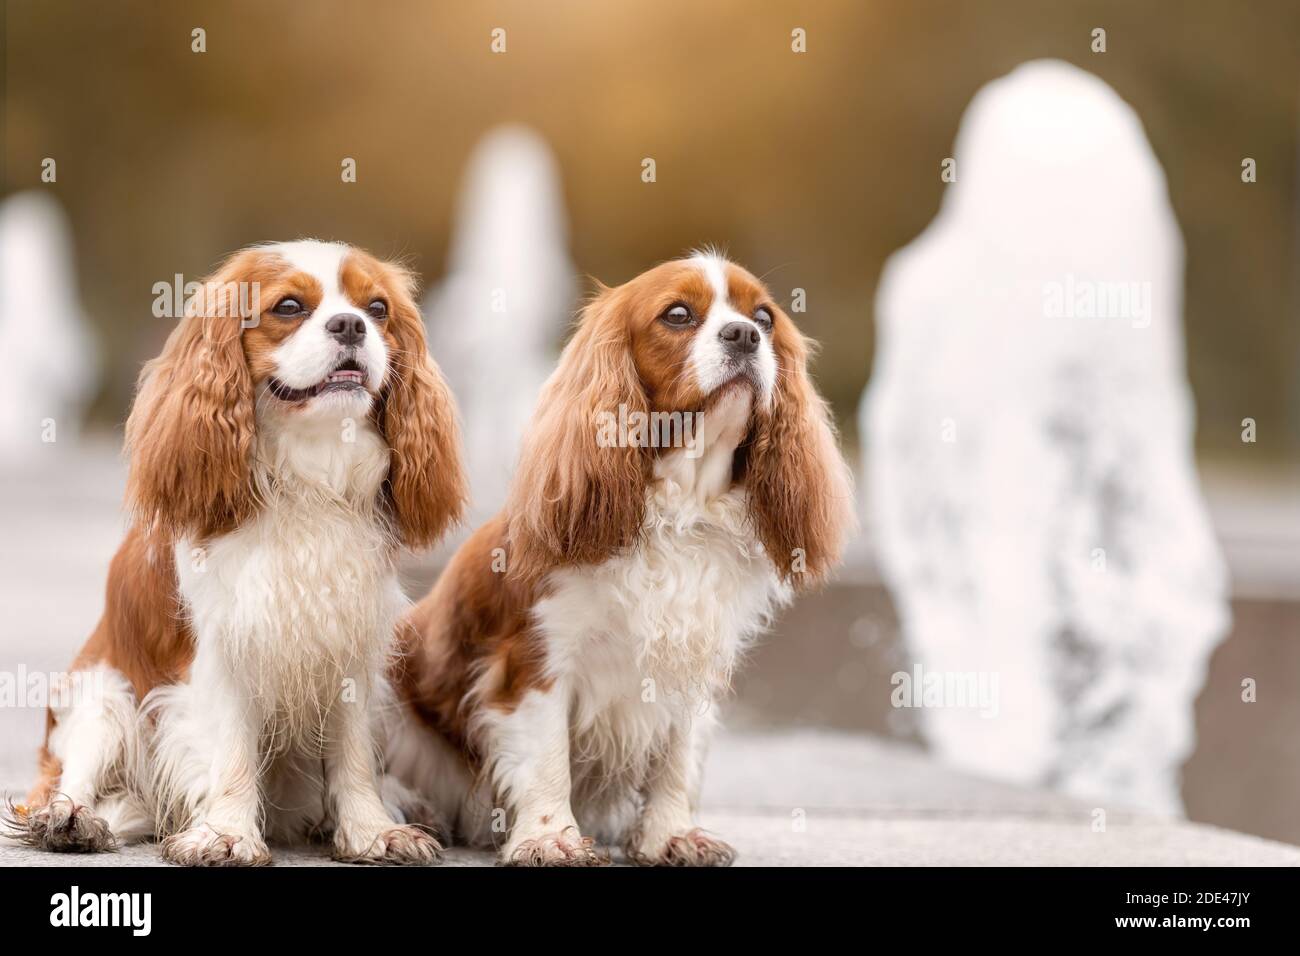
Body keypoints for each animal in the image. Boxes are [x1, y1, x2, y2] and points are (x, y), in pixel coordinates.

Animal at [2, 240, 470, 868]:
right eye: (289, 306)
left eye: (377, 308)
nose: (351, 325)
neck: (306, 476)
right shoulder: (224, 643)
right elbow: (232, 750)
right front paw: (226, 833)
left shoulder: (349, 641)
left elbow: (352, 756)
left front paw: (372, 831)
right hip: (102, 692)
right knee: (73, 773)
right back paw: (70, 820)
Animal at [384, 251, 852, 863]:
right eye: (677, 314)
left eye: (765, 319)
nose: (745, 335)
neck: (681, 507)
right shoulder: (537, 658)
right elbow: (548, 758)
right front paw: (551, 838)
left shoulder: (692, 657)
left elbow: (677, 758)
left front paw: (671, 834)